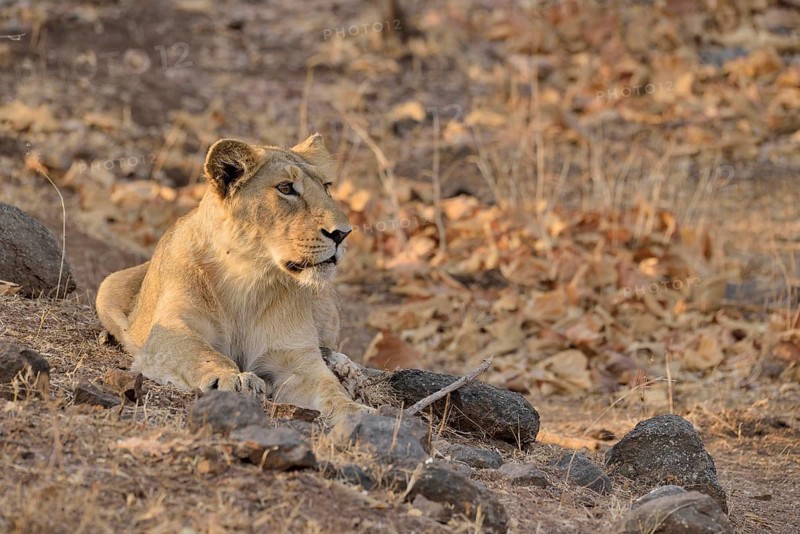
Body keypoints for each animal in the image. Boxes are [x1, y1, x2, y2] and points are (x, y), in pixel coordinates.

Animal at [96, 134, 367, 420]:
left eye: (326, 187)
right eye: (286, 188)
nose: (343, 233)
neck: (248, 276)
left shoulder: (295, 355)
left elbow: (329, 389)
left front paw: (356, 411)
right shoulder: (172, 328)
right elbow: (203, 353)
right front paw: (235, 378)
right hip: (110, 285)